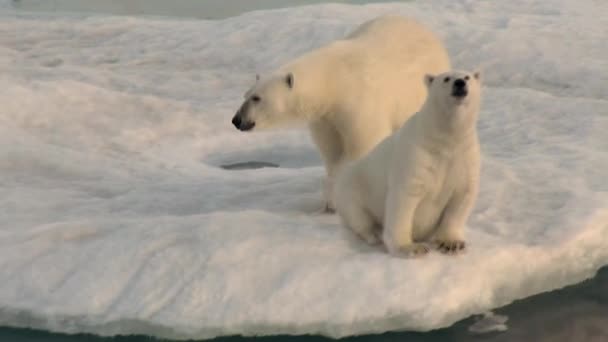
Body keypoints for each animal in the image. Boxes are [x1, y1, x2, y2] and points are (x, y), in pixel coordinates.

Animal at [230, 15, 448, 211]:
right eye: (246, 94)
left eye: (257, 98)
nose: (237, 120)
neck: (334, 81)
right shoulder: (325, 119)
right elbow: (331, 151)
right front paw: (330, 198)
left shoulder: (360, 103)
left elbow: (361, 146)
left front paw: (335, 198)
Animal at [332, 69, 480, 256]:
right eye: (446, 79)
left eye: (468, 77)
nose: (460, 83)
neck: (444, 139)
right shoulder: (417, 155)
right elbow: (404, 199)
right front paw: (410, 247)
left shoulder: (464, 156)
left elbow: (462, 195)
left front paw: (451, 243)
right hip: (352, 188)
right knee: (357, 215)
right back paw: (373, 234)